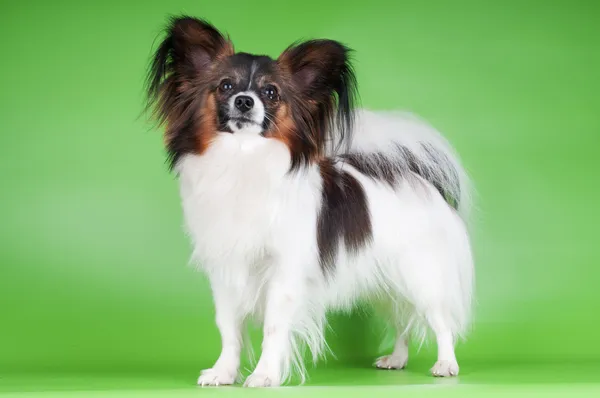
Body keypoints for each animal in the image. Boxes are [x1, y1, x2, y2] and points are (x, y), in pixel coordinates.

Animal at [144, 16, 474, 388]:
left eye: (271, 93)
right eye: (226, 86)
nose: (245, 101)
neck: (244, 159)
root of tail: (413, 174)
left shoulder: (284, 272)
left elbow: (273, 328)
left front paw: (264, 375)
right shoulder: (226, 271)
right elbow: (228, 328)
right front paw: (223, 373)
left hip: (420, 275)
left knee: (439, 320)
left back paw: (446, 364)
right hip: (385, 280)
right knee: (401, 320)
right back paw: (397, 359)